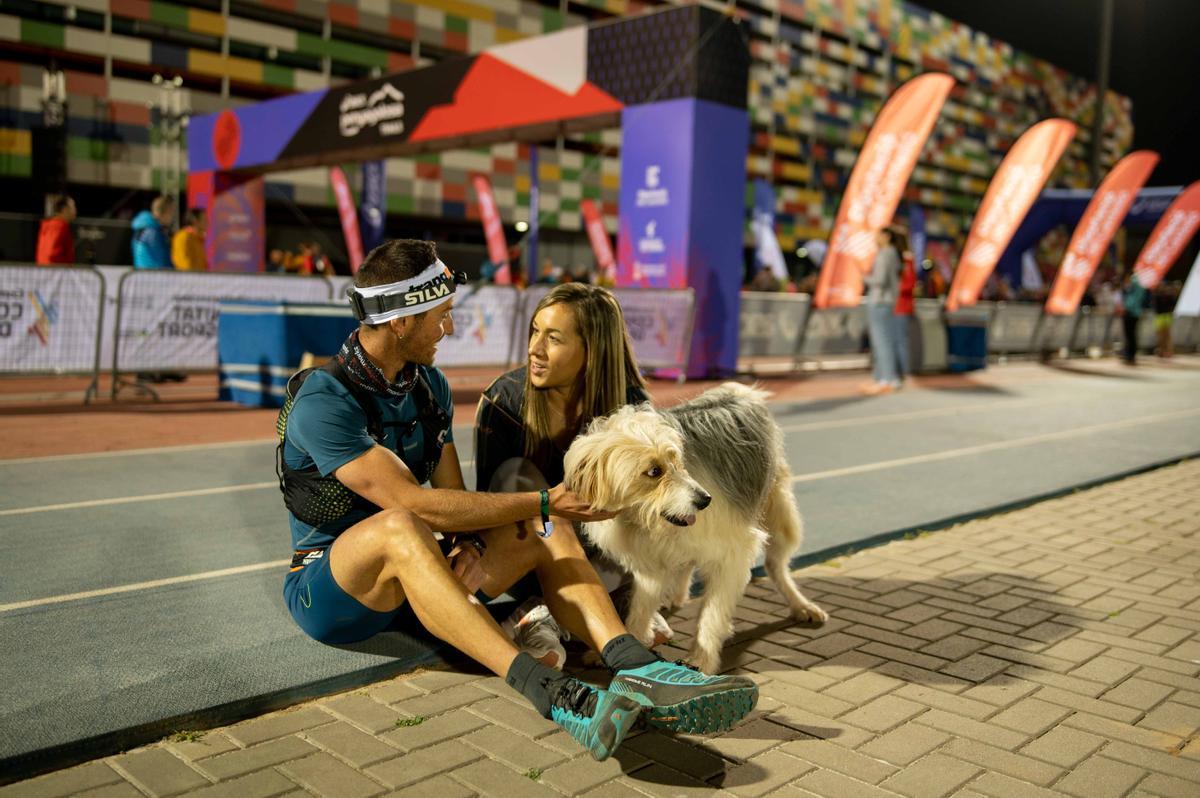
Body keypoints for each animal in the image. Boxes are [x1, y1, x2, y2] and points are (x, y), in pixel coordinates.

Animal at [561, 384, 825, 667]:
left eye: (678, 461)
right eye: (654, 472)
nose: (705, 500)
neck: (643, 521)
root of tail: (738, 389)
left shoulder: (733, 553)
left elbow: (712, 613)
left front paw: (702, 658)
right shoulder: (650, 564)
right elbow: (640, 609)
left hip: (779, 512)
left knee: (776, 567)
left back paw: (801, 605)